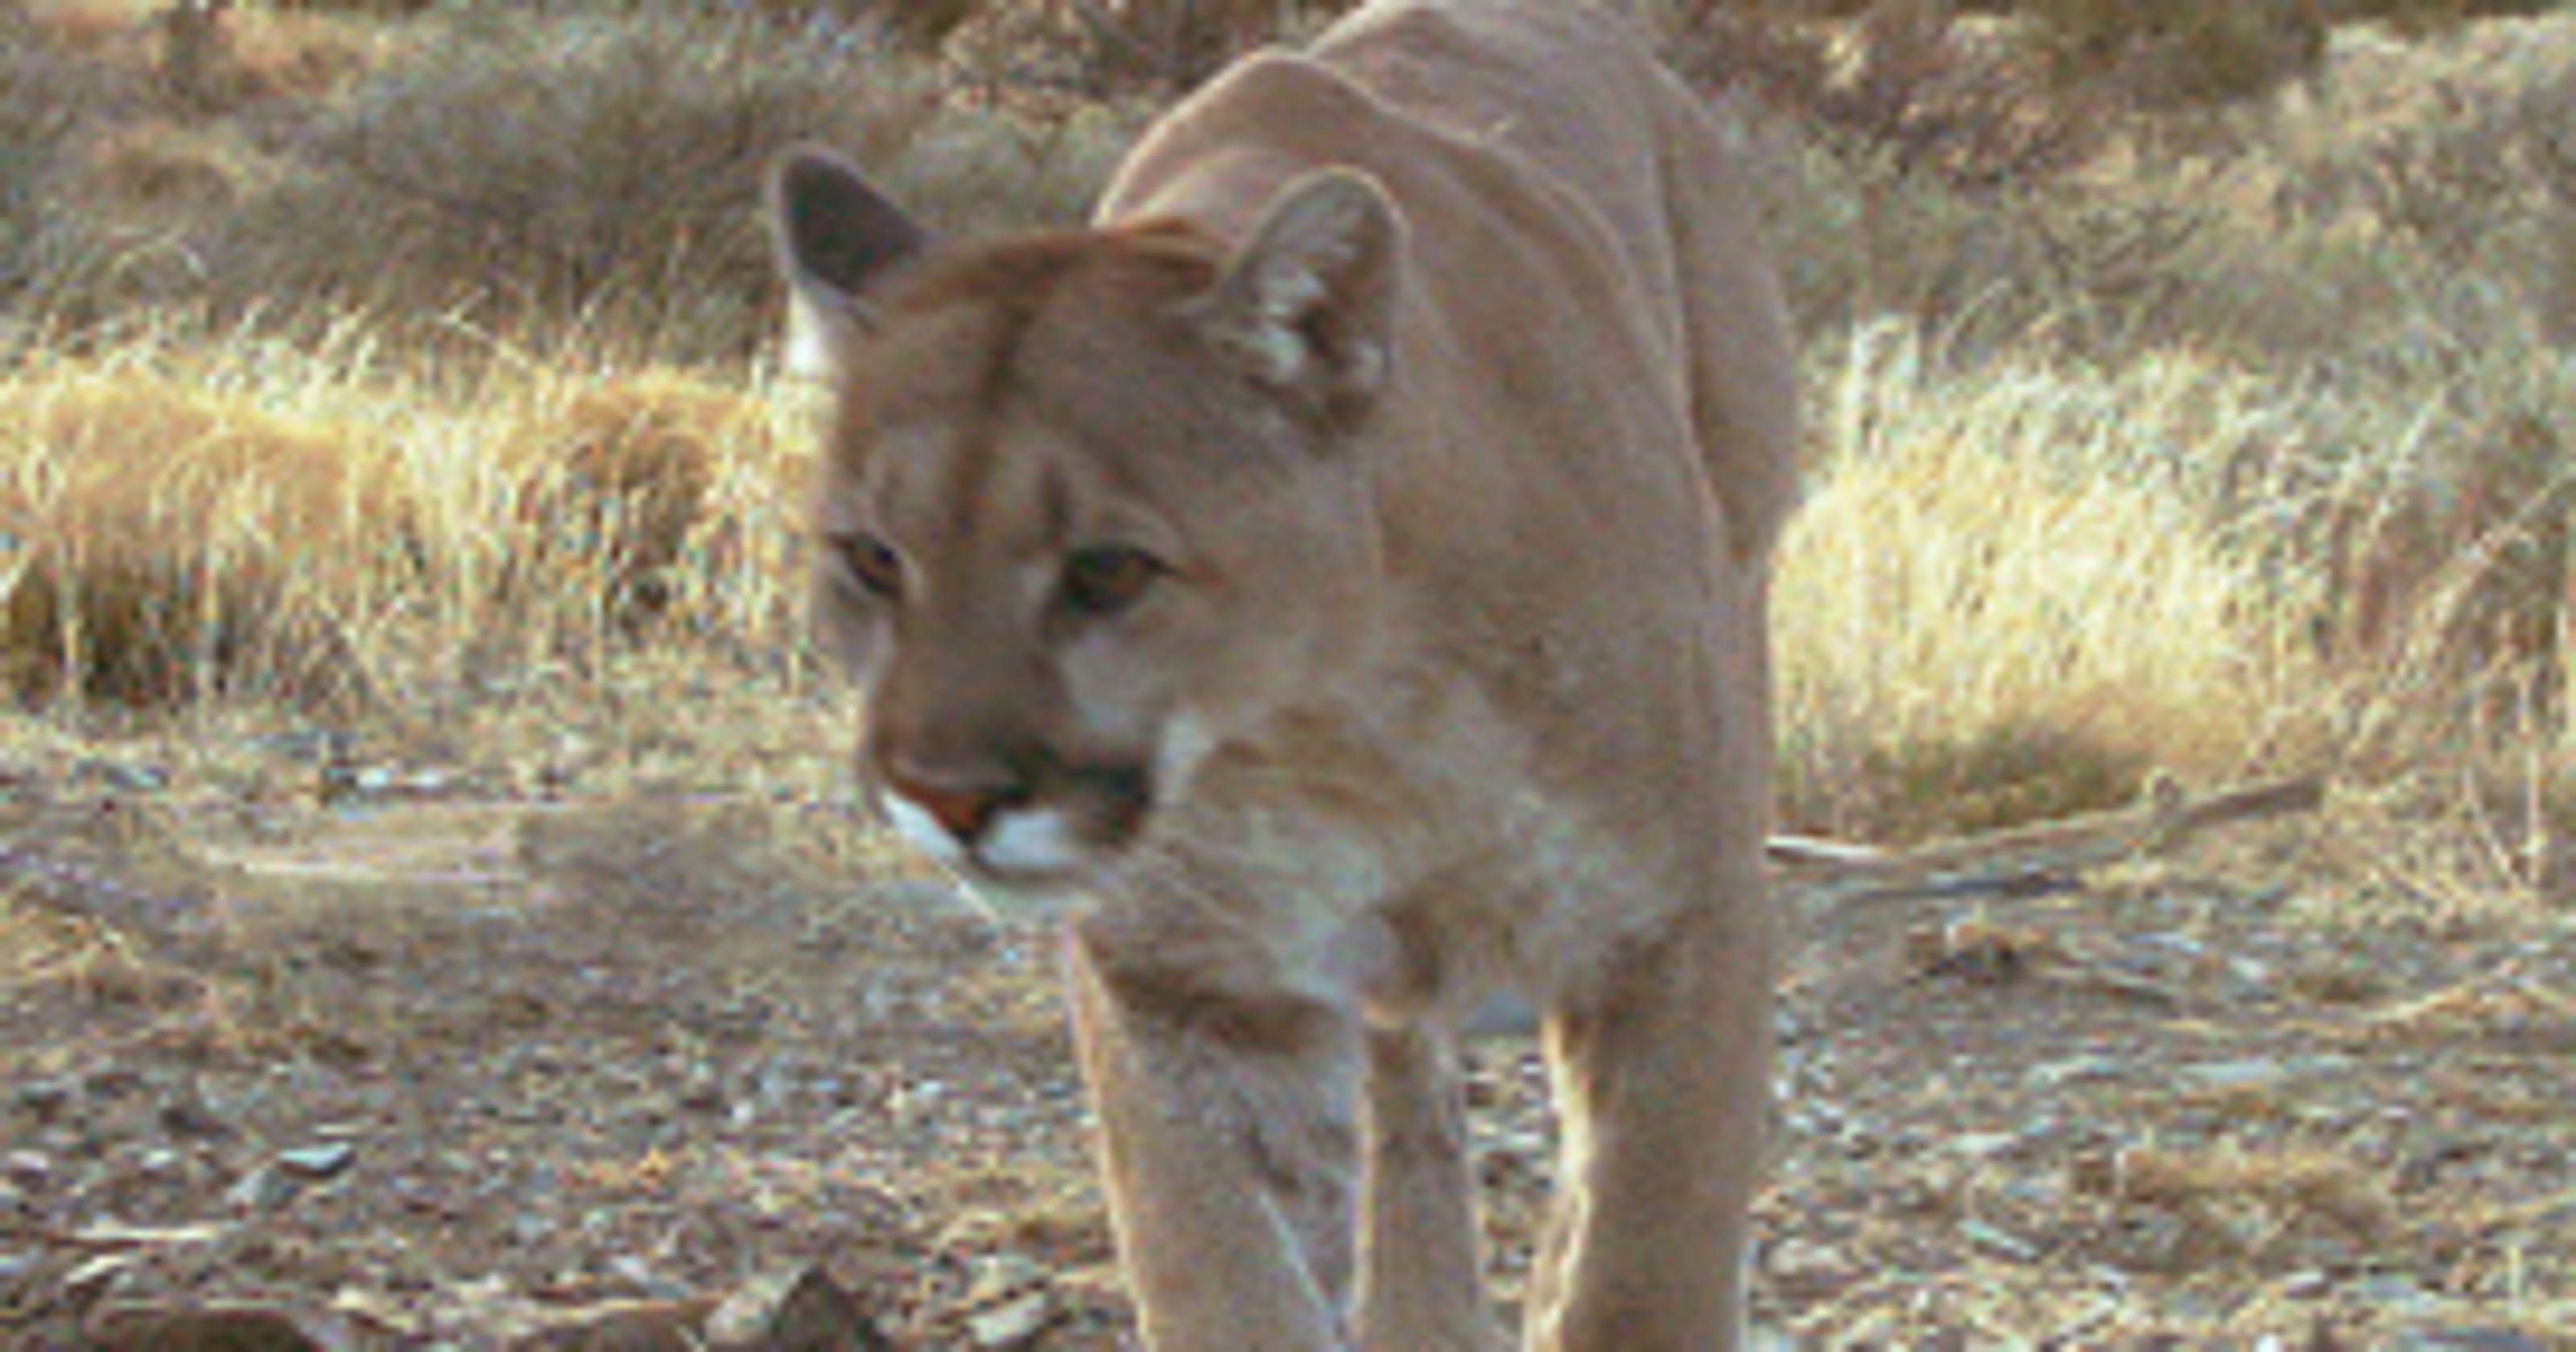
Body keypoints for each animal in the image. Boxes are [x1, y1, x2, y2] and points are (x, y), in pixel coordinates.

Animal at [765, 0, 1797, 1346]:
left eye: (1108, 570)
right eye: (874, 558)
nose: (944, 793)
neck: (1334, 726)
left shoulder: (1682, 925)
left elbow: (1643, 1267)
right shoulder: (1186, 988)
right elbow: (1223, 1273)